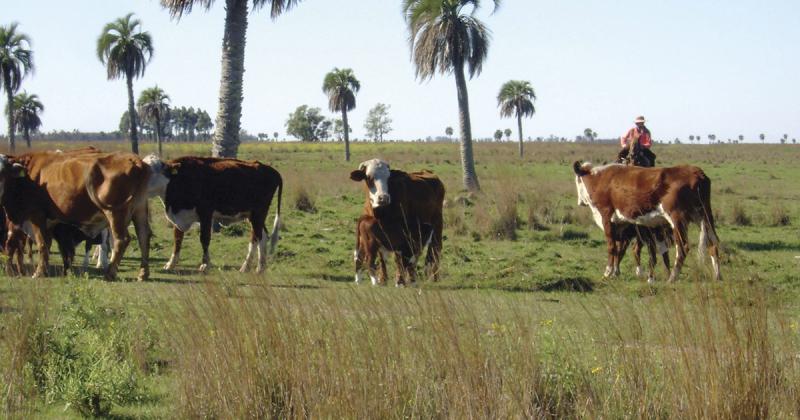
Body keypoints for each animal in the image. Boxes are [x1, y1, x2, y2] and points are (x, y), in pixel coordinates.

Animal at [0, 149, 152, 280]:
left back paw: (110, 273)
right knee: (144, 236)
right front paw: (46, 269)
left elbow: (42, 244)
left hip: (115, 214)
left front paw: (39, 272)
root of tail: (134, 159)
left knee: (122, 240)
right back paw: (143, 273)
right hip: (139, 210)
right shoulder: (50, 221)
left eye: (2, 172)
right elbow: (48, 244)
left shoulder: (36, 216)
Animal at [144, 156, 282, 274]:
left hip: (258, 213)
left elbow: (204, 239)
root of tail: (269, 169)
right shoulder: (179, 218)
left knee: (256, 237)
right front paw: (171, 264)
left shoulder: (205, 213)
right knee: (262, 236)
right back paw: (257, 267)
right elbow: (177, 240)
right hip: (253, 216)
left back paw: (249, 267)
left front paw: (205, 264)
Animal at [572, 161, 720, 282]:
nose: (579, 202)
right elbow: (620, 251)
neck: (600, 179)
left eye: (578, 181)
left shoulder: (606, 217)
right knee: (713, 243)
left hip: (678, 219)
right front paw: (615, 273)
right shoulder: (622, 225)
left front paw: (607, 273)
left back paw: (672, 277)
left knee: (683, 247)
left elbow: (612, 247)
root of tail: (697, 172)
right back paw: (718, 276)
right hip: (705, 217)